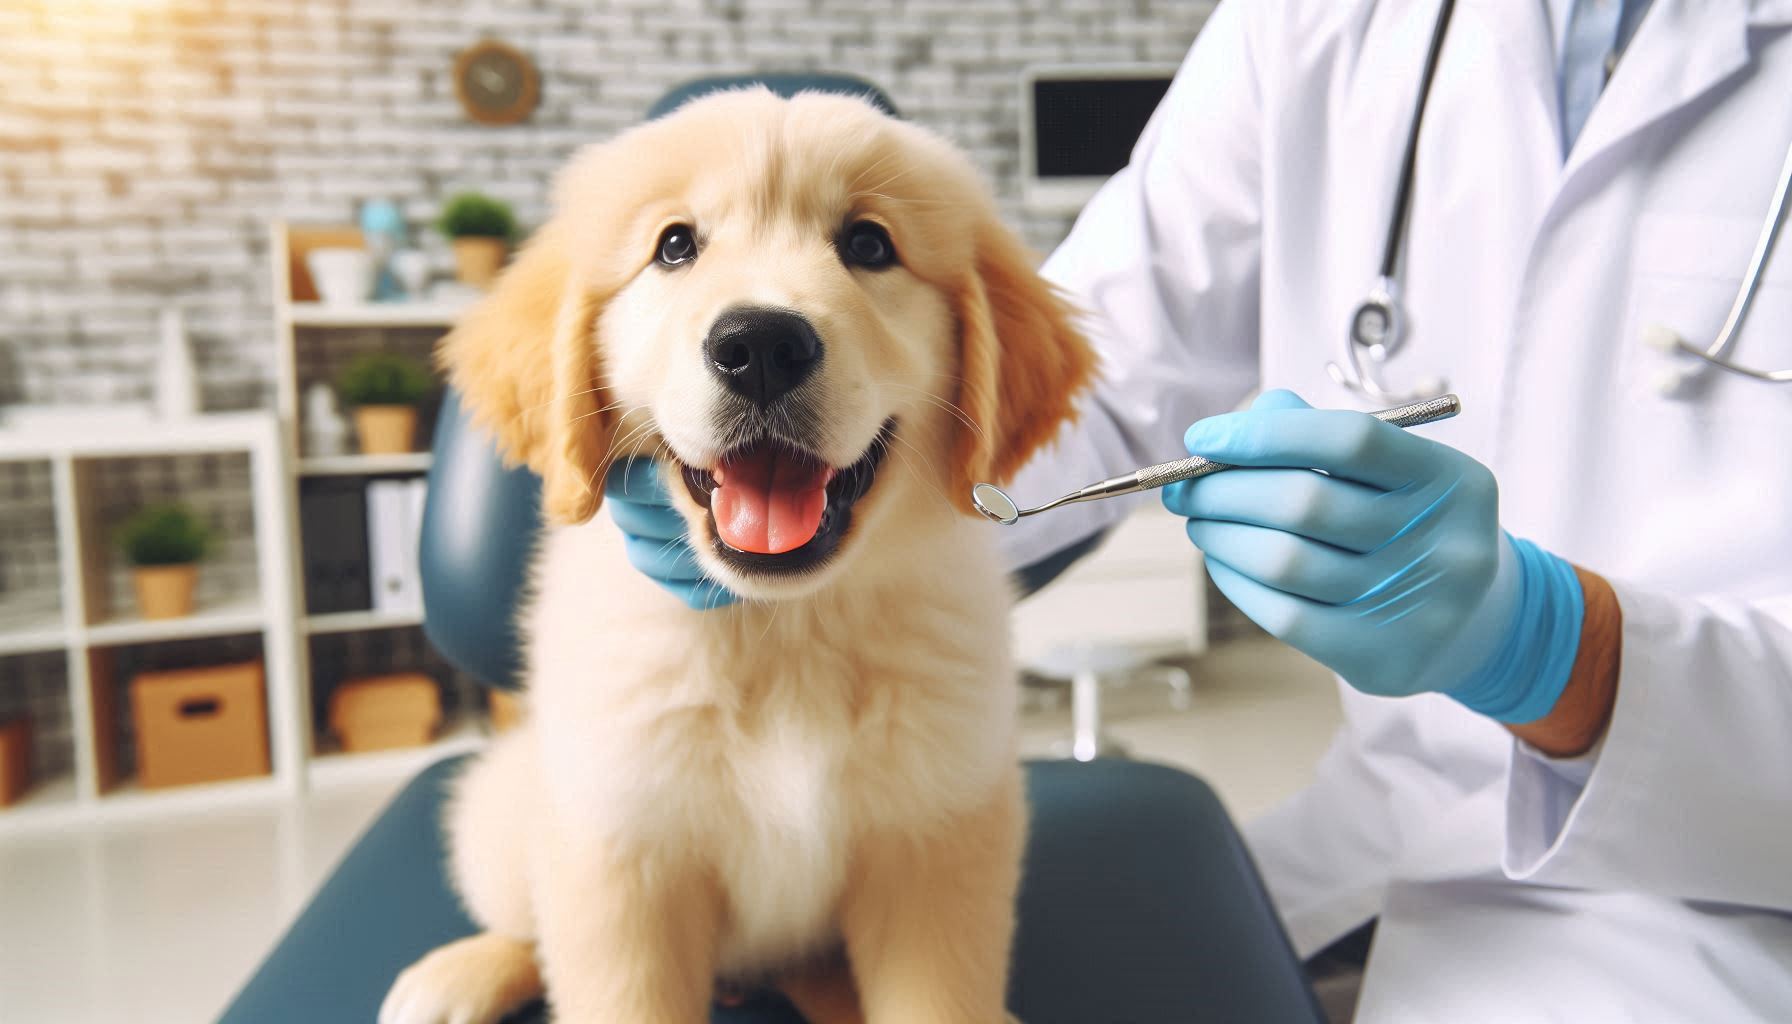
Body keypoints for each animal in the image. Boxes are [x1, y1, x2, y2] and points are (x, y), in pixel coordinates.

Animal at [378, 90, 1089, 1024]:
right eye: (675, 245)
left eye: (869, 245)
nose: (760, 346)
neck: (782, 625)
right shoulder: (619, 855)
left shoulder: (938, 842)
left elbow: (938, 998)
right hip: (502, 810)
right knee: (525, 926)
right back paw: (457, 976)